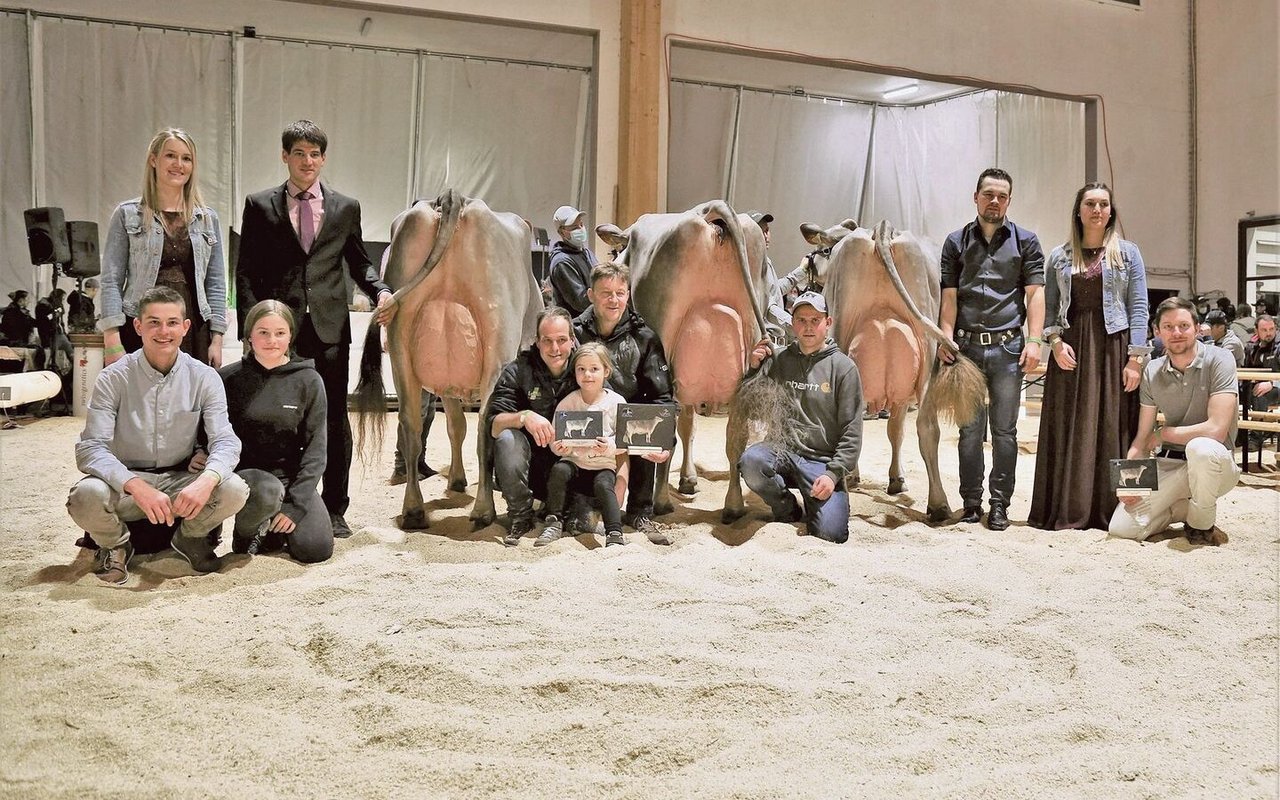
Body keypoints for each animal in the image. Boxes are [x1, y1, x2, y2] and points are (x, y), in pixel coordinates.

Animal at [358, 190, 542, 529]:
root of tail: (454, 197)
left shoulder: (447, 383)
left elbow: (455, 426)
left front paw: (456, 480)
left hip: (400, 344)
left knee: (411, 424)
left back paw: (413, 510)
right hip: (497, 343)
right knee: (484, 423)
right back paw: (483, 510)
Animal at [814, 220, 983, 517]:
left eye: (825, 250)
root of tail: (882, 228)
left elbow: (892, 430)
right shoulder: (902, 394)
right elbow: (896, 431)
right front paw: (895, 478)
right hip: (927, 352)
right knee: (927, 427)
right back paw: (938, 504)